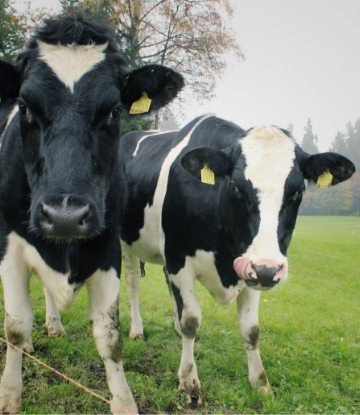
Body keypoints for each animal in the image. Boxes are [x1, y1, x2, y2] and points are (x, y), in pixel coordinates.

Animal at [0, 14, 183, 414]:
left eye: (114, 111)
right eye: (25, 108)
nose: (65, 217)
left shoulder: (107, 244)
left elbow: (109, 336)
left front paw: (124, 402)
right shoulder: (9, 244)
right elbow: (16, 325)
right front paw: (9, 395)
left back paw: (53, 325)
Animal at [120, 115, 354, 404]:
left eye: (298, 191)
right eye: (235, 186)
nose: (268, 270)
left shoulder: (253, 270)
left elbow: (251, 329)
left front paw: (260, 382)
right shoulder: (179, 258)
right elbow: (191, 320)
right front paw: (189, 381)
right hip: (126, 241)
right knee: (133, 283)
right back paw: (137, 329)